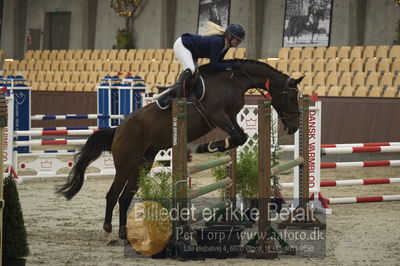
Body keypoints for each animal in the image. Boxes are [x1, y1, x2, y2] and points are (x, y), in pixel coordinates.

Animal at [56, 59, 304, 240]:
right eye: (292, 96)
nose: (294, 126)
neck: (233, 80)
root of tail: (118, 129)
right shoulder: (217, 115)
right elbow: (238, 137)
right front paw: (206, 146)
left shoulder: (231, 117)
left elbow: (239, 137)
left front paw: (210, 146)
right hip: (126, 164)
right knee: (113, 195)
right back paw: (109, 230)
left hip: (143, 164)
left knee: (125, 197)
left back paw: (124, 234)